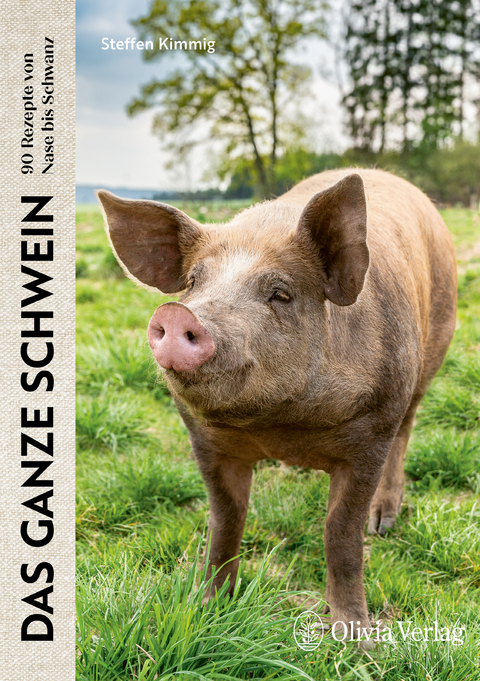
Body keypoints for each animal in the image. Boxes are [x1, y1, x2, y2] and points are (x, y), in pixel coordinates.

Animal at [97, 169, 457, 633]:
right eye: (193, 281)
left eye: (281, 293)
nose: (177, 313)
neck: (281, 425)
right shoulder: (205, 441)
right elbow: (225, 520)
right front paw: (205, 606)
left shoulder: (372, 434)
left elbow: (341, 533)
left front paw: (355, 637)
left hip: (428, 358)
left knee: (407, 430)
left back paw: (383, 523)